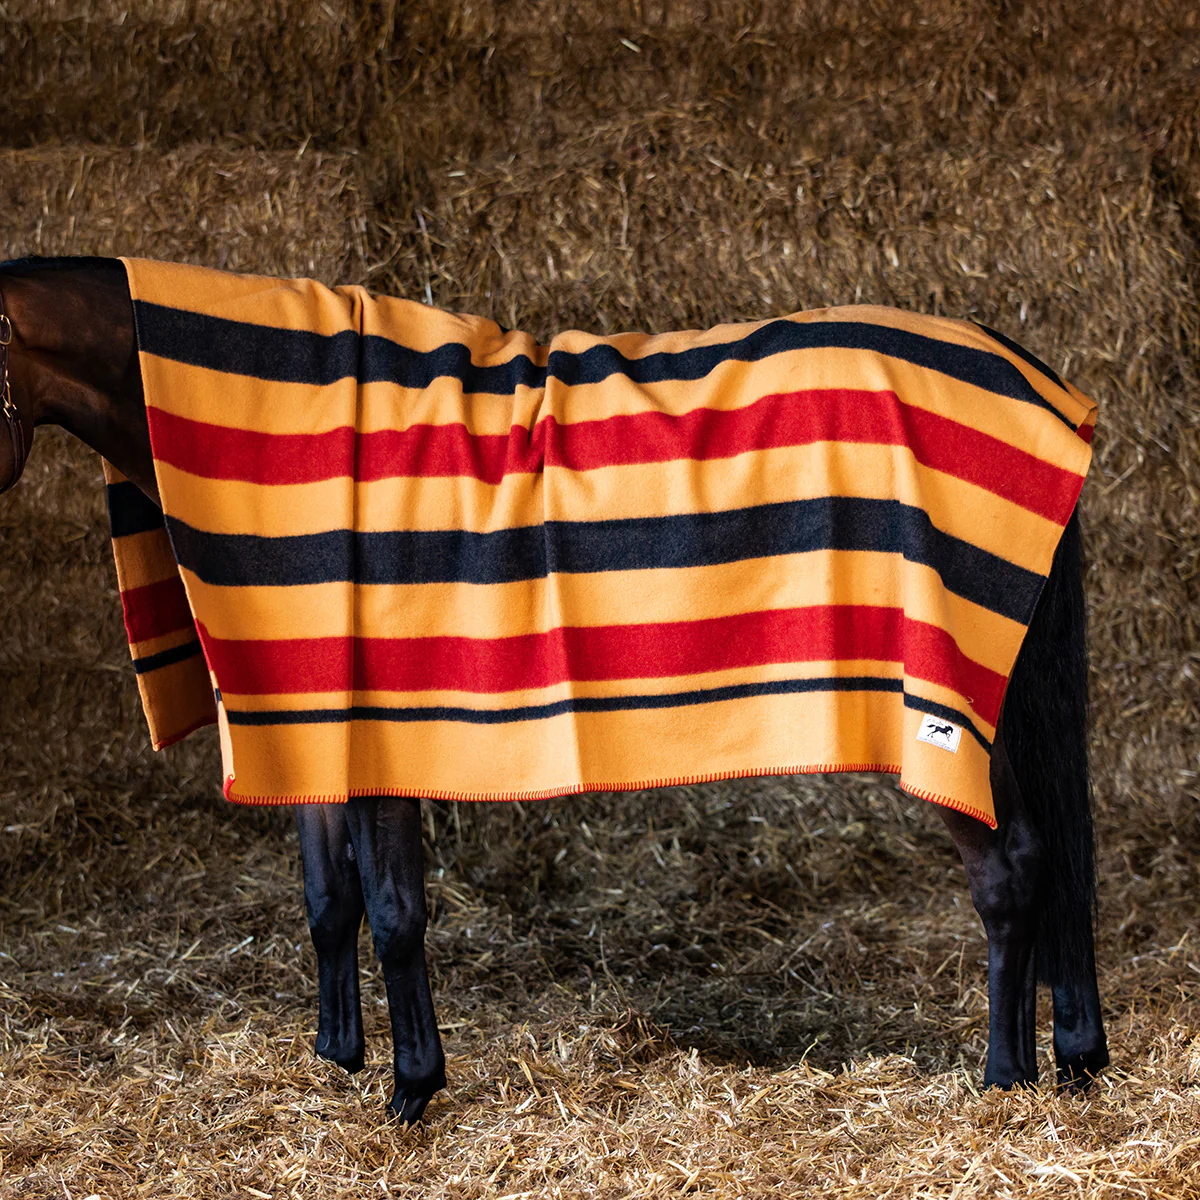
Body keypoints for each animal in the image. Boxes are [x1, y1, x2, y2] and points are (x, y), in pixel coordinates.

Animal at [0, 255, 1109, 1123]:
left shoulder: (387, 728)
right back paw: (1072, 1059)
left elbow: (394, 909)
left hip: (942, 712)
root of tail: (1027, 374)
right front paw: (336, 1060)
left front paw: (413, 1089)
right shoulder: (306, 713)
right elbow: (327, 899)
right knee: (1052, 861)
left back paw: (1003, 1077)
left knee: (1011, 869)